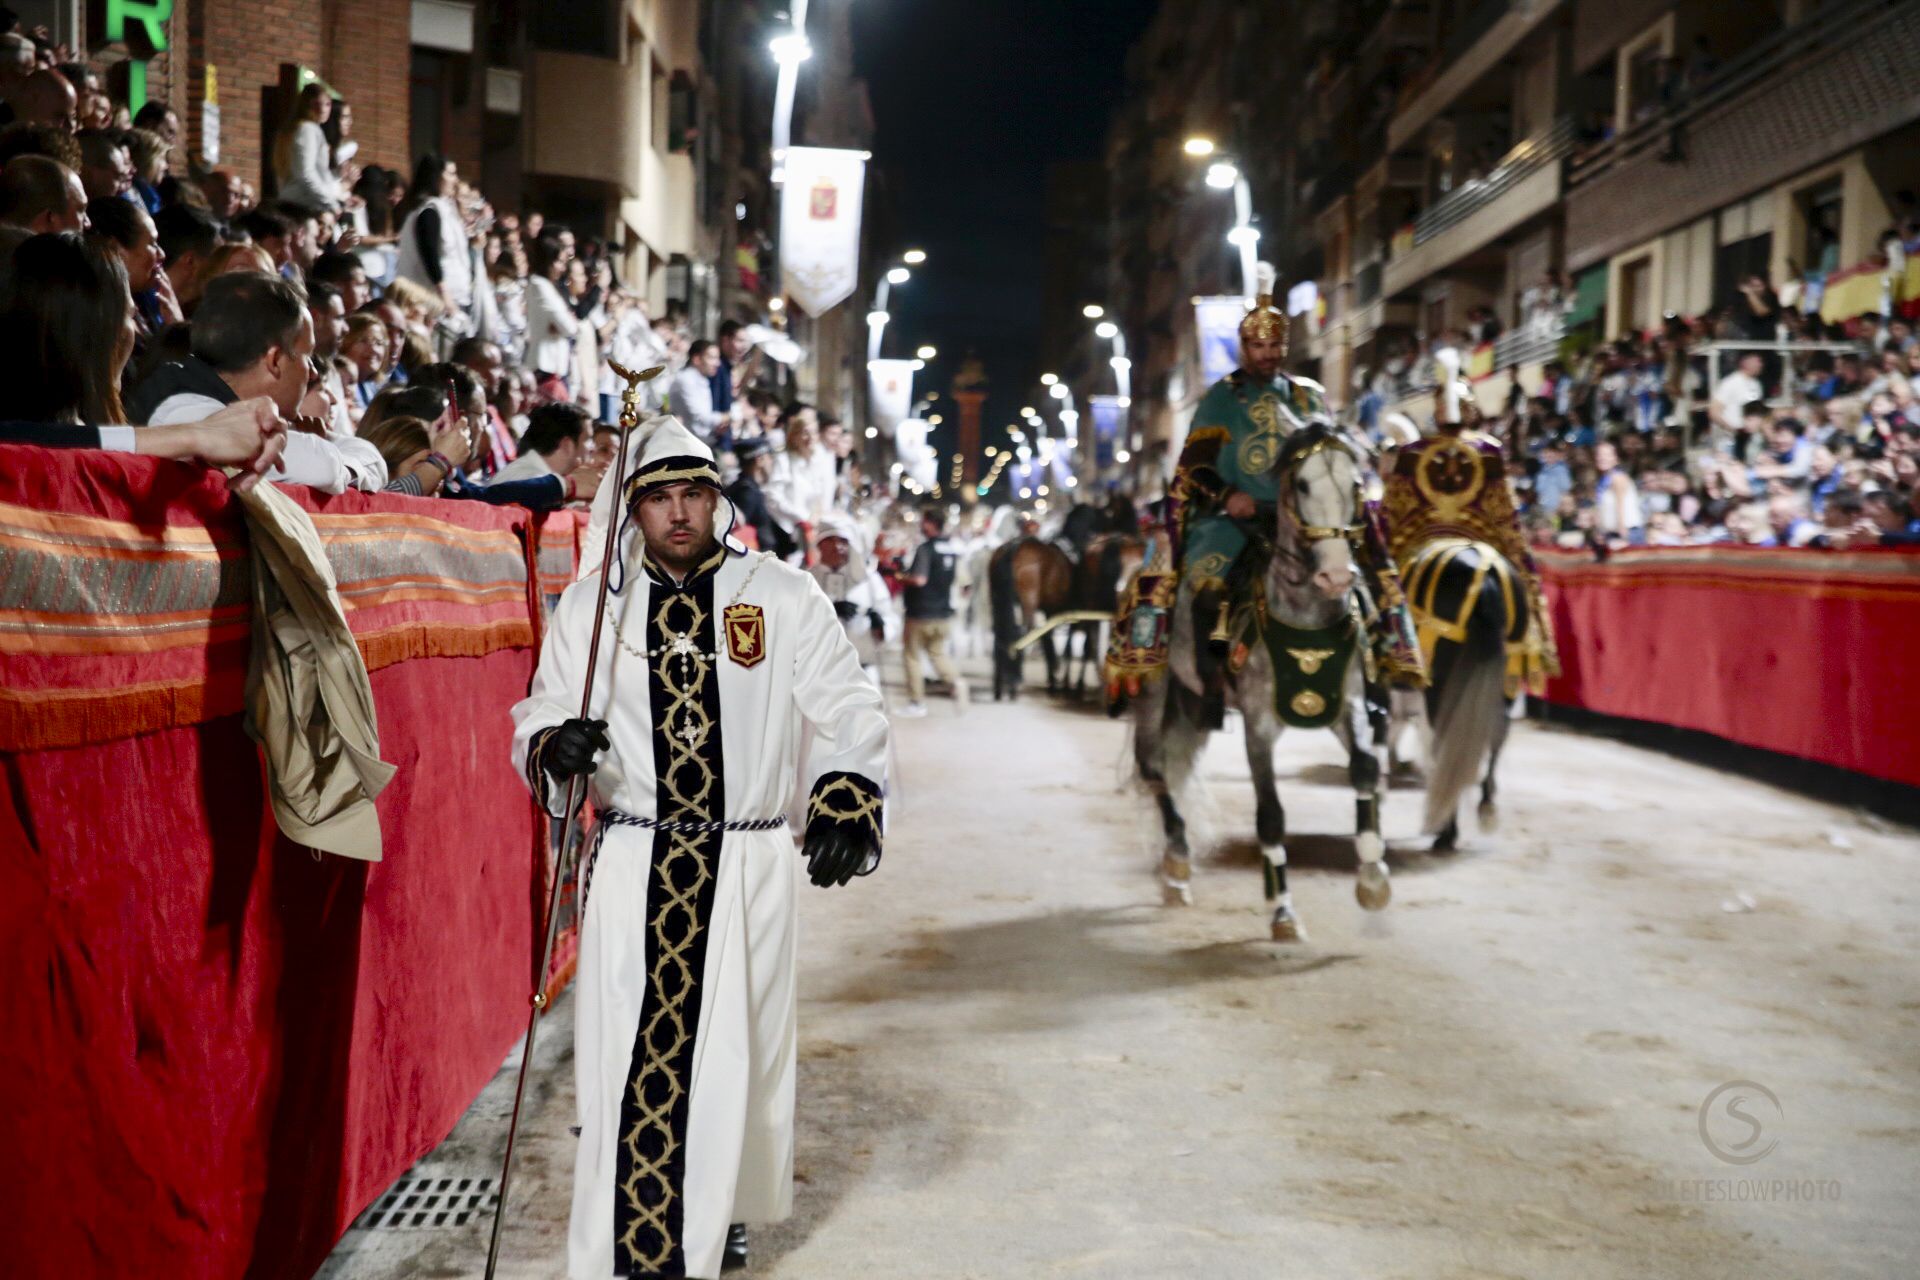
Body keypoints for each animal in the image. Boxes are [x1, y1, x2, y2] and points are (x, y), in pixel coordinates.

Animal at [998, 537, 1075, 702]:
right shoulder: (1059, 611)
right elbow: (1064, 643)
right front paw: (1059, 680)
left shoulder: (1049, 610)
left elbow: (1048, 640)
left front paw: (1053, 680)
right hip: (1028, 601)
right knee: (1025, 632)